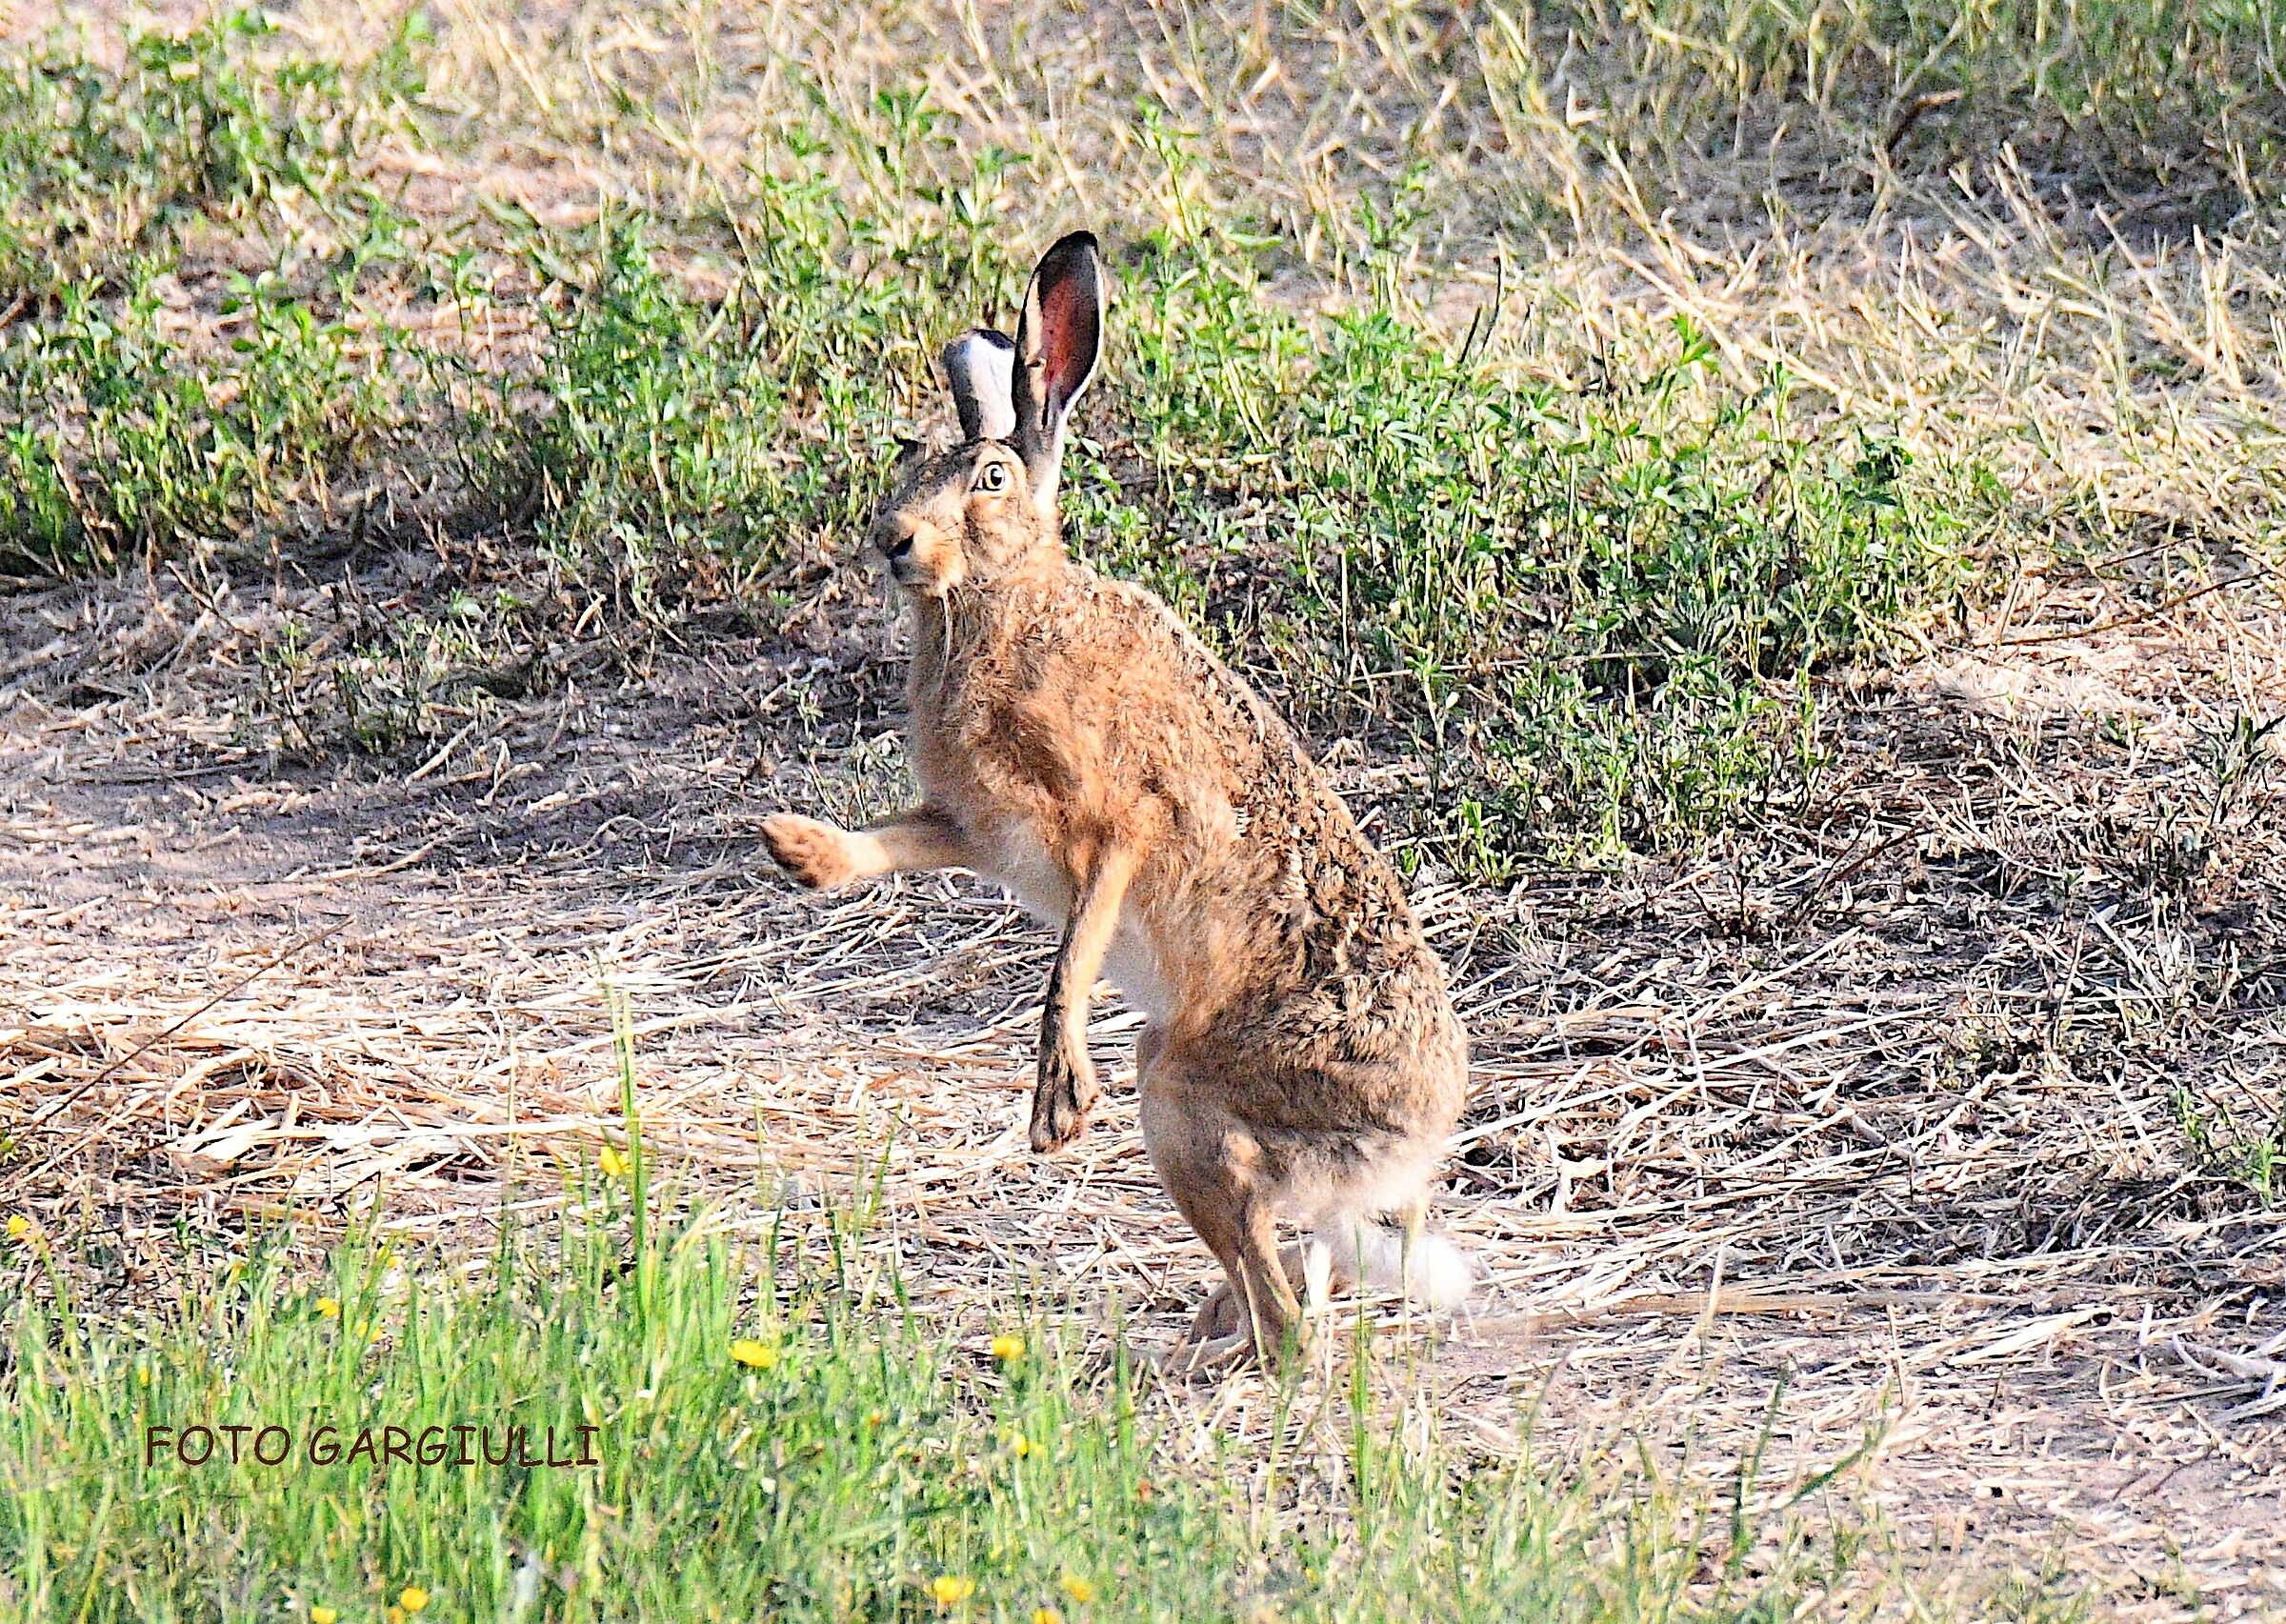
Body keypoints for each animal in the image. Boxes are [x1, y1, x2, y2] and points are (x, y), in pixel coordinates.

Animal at [760, 232, 1471, 1367]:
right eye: (907, 462)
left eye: (990, 478)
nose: (892, 540)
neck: (1004, 601)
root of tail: (1416, 1140)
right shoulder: (974, 829)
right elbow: (890, 845)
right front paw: (796, 848)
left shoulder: (1119, 821)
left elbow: (1074, 951)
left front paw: (1057, 1100)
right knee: (1282, 1269)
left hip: (1183, 1094)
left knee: (1283, 1304)